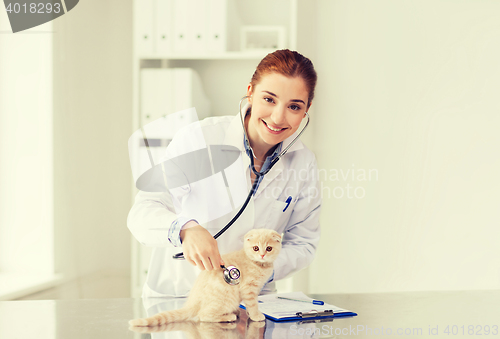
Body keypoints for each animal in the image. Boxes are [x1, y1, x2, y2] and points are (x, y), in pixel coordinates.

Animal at [129, 228, 282, 326]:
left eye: (269, 248)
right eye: (256, 248)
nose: (262, 255)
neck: (257, 263)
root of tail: (192, 301)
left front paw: (252, 314)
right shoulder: (248, 289)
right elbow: (253, 304)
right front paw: (256, 315)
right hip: (225, 300)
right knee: (203, 316)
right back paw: (229, 316)